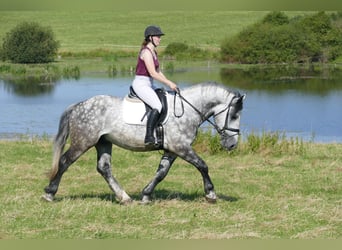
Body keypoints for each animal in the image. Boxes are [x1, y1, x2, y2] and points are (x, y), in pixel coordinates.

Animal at [42, 83, 244, 204]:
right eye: (234, 115)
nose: (232, 145)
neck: (187, 110)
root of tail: (78, 106)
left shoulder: (172, 150)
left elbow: (161, 172)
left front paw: (146, 195)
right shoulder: (181, 147)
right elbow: (202, 165)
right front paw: (211, 194)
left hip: (103, 142)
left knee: (104, 168)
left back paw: (124, 197)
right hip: (83, 142)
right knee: (64, 162)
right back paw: (49, 193)